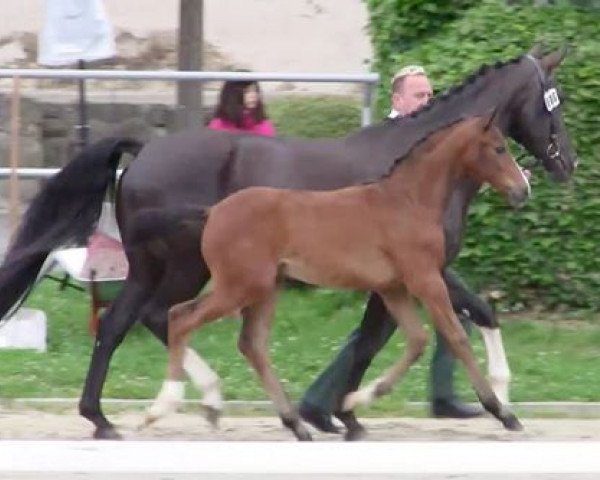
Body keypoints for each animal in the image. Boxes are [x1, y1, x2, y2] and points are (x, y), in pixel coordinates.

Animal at [145, 114, 528, 440]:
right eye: (499, 148)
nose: (523, 190)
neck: (407, 201)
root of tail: (212, 212)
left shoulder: (393, 287)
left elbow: (416, 340)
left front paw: (354, 401)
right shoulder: (425, 279)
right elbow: (455, 337)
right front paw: (503, 412)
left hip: (266, 288)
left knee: (251, 344)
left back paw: (297, 425)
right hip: (239, 286)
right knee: (180, 317)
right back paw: (164, 408)